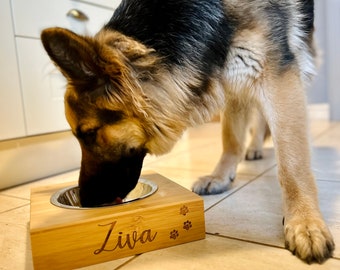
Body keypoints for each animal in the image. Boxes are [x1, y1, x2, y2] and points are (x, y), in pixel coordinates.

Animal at [40, 0, 334, 264]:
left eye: (89, 134)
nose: (86, 201)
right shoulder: (229, 78)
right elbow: (230, 137)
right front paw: (220, 176)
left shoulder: (277, 77)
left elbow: (292, 164)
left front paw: (305, 221)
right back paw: (252, 149)